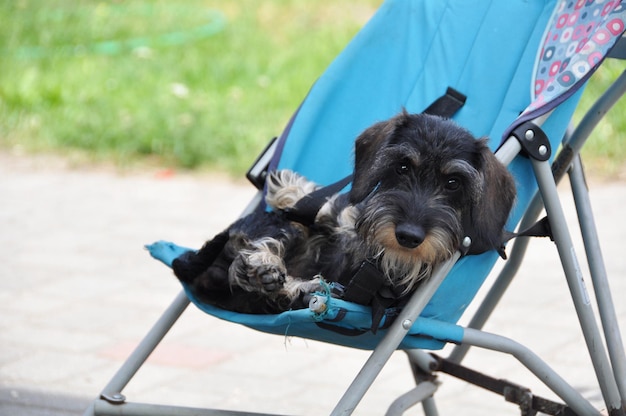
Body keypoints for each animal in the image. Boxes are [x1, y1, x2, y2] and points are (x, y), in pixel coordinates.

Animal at [173, 110, 516, 316]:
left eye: (453, 182)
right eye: (402, 167)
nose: (408, 237)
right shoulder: (339, 216)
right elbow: (325, 205)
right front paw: (288, 186)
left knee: (280, 287)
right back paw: (266, 266)